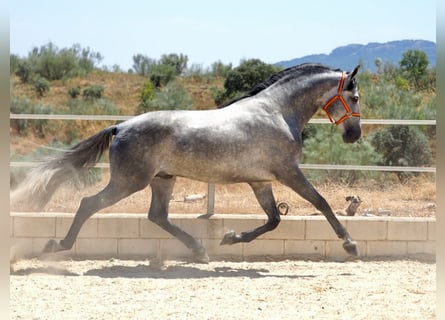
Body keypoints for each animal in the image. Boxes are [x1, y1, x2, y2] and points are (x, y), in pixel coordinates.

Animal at [20, 63, 360, 262]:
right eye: (355, 98)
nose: (353, 135)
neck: (276, 111)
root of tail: (121, 126)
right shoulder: (288, 172)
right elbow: (321, 203)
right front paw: (349, 244)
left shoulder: (260, 181)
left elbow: (274, 219)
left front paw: (230, 238)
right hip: (129, 181)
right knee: (89, 204)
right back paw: (57, 246)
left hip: (162, 179)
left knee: (157, 216)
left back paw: (199, 250)